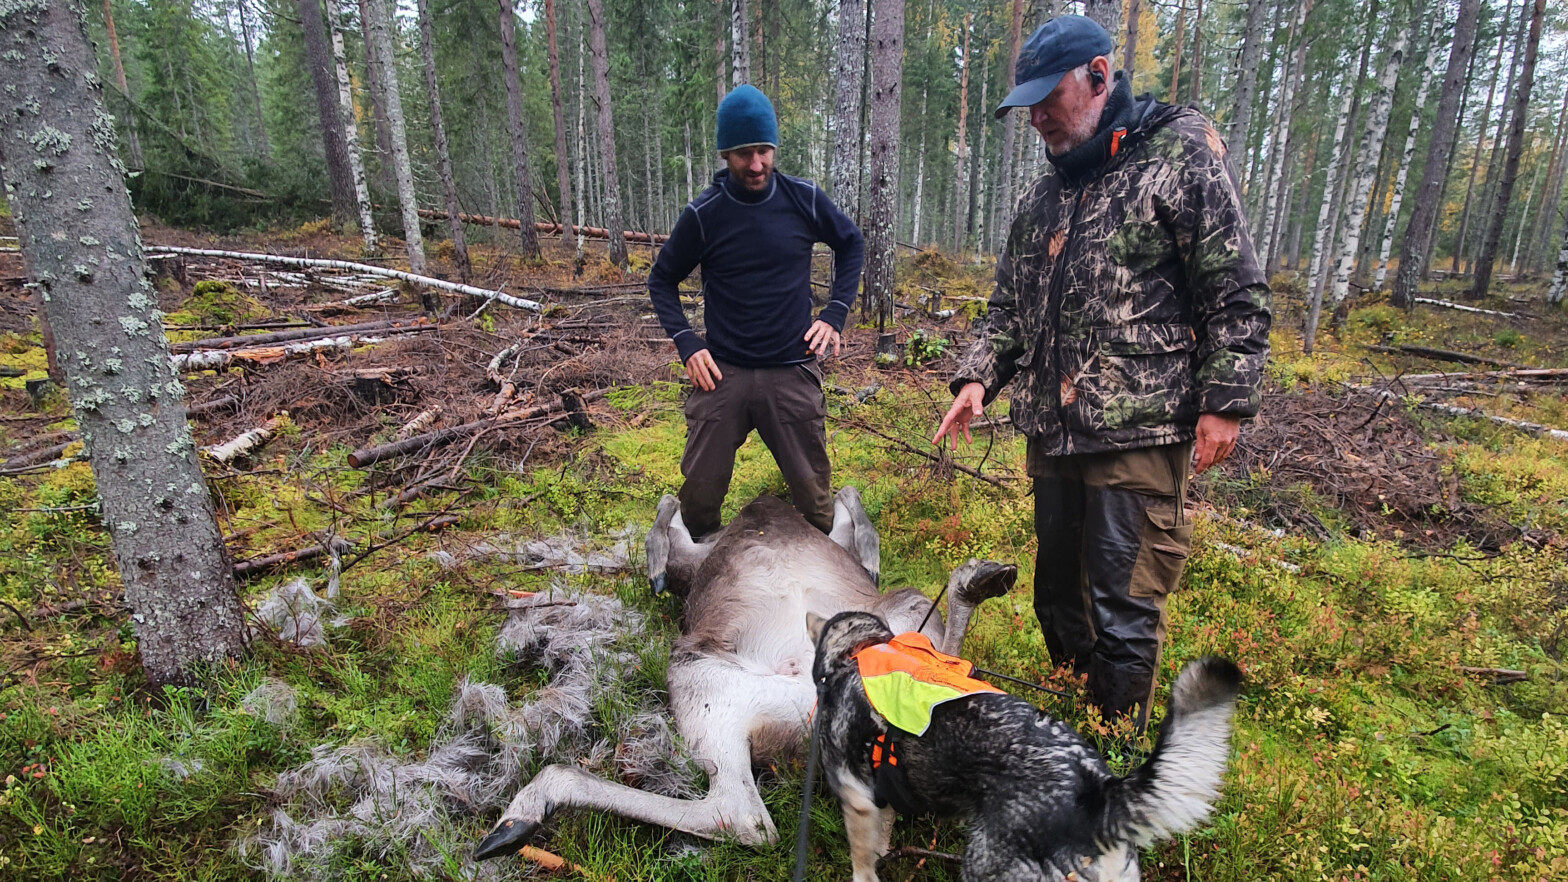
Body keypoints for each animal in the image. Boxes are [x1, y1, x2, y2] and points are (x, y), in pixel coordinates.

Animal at [473, 486, 1016, 853]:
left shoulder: (693, 557)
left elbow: (668, 509)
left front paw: (653, 563)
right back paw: (979, 579)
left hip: (700, 675)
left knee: (741, 818)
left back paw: (522, 812)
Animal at [809, 608, 1235, 878]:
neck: (857, 653)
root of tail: (1096, 789)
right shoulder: (880, 800)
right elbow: (882, 839)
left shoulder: (858, 803)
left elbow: (863, 862)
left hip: (983, 866)